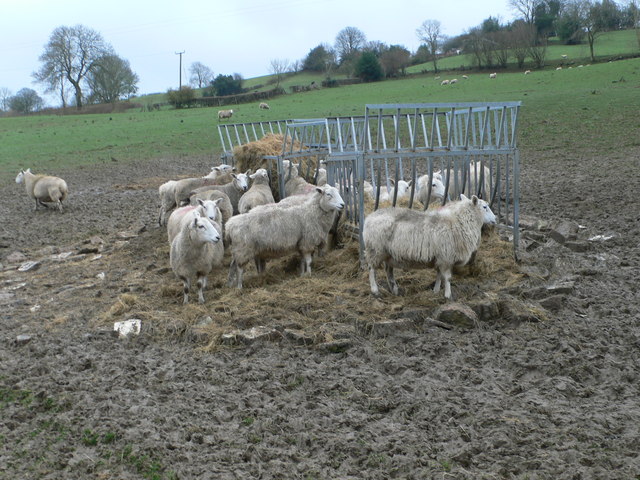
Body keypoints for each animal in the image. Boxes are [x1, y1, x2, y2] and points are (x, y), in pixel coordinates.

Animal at [362, 193, 498, 298]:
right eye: (485, 207)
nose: (495, 219)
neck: (459, 221)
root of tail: (369, 218)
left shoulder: (441, 257)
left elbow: (439, 275)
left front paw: (436, 291)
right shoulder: (446, 256)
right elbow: (447, 277)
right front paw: (448, 295)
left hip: (388, 253)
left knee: (388, 271)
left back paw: (394, 290)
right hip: (375, 249)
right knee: (371, 269)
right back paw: (375, 290)